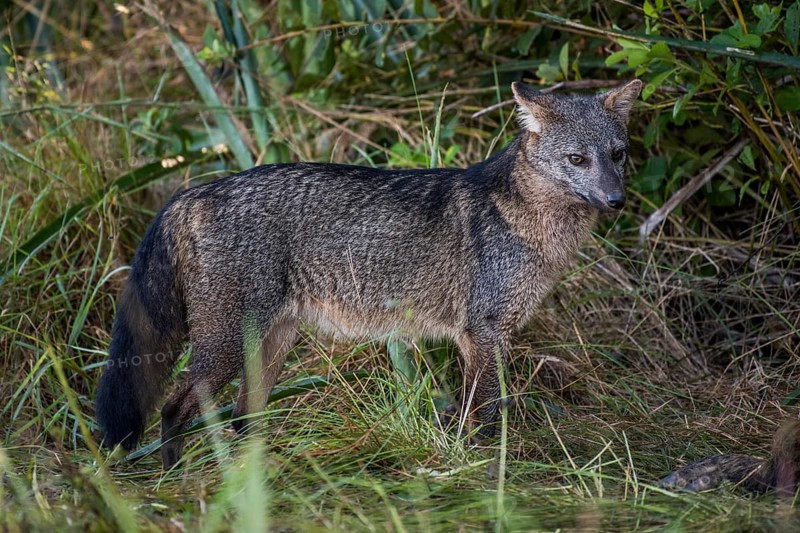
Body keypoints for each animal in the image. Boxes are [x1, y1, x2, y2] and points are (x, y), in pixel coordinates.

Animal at [95, 79, 643, 469]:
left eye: (618, 155)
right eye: (577, 159)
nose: (617, 201)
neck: (532, 225)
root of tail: (196, 190)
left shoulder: (483, 338)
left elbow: (477, 410)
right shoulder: (483, 333)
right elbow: (484, 414)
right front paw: (483, 469)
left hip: (269, 349)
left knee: (241, 418)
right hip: (225, 349)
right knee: (177, 407)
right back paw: (177, 476)